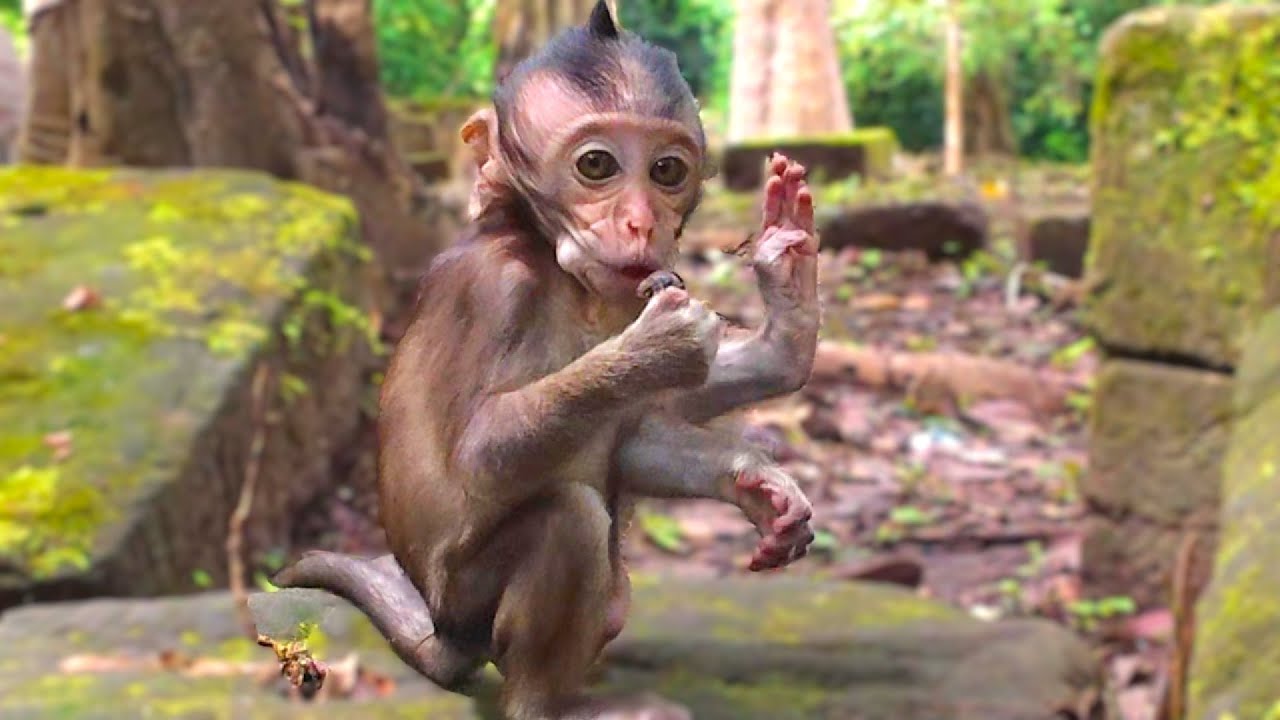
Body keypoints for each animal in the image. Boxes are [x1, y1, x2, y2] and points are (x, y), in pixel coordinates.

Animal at [272, 3, 822, 719]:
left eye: (667, 172)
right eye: (598, 165)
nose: (643, 223)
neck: (552, 264)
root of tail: (440, 633)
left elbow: (633, 430)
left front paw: (754, 463)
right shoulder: (492, 289)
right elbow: (480, 456)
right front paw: (659, 347)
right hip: (467, 605)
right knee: (570, 520)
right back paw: (545, 705)